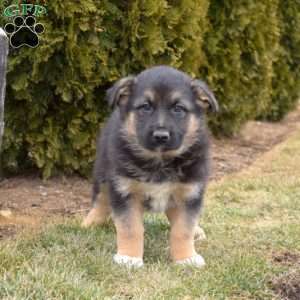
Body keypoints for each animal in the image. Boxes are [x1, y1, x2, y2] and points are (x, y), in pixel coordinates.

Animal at [82, 65, 218, 268]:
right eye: (145, 107)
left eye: (178, 109)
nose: (161, 136)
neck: (160, 161)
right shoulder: (125, 191)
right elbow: (130, 228)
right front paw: (129, 258)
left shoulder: (189, 193)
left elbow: (182, 229)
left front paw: (186, 257)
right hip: (103, 173)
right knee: (100, 200)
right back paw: (89, 223)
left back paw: (196, 231)